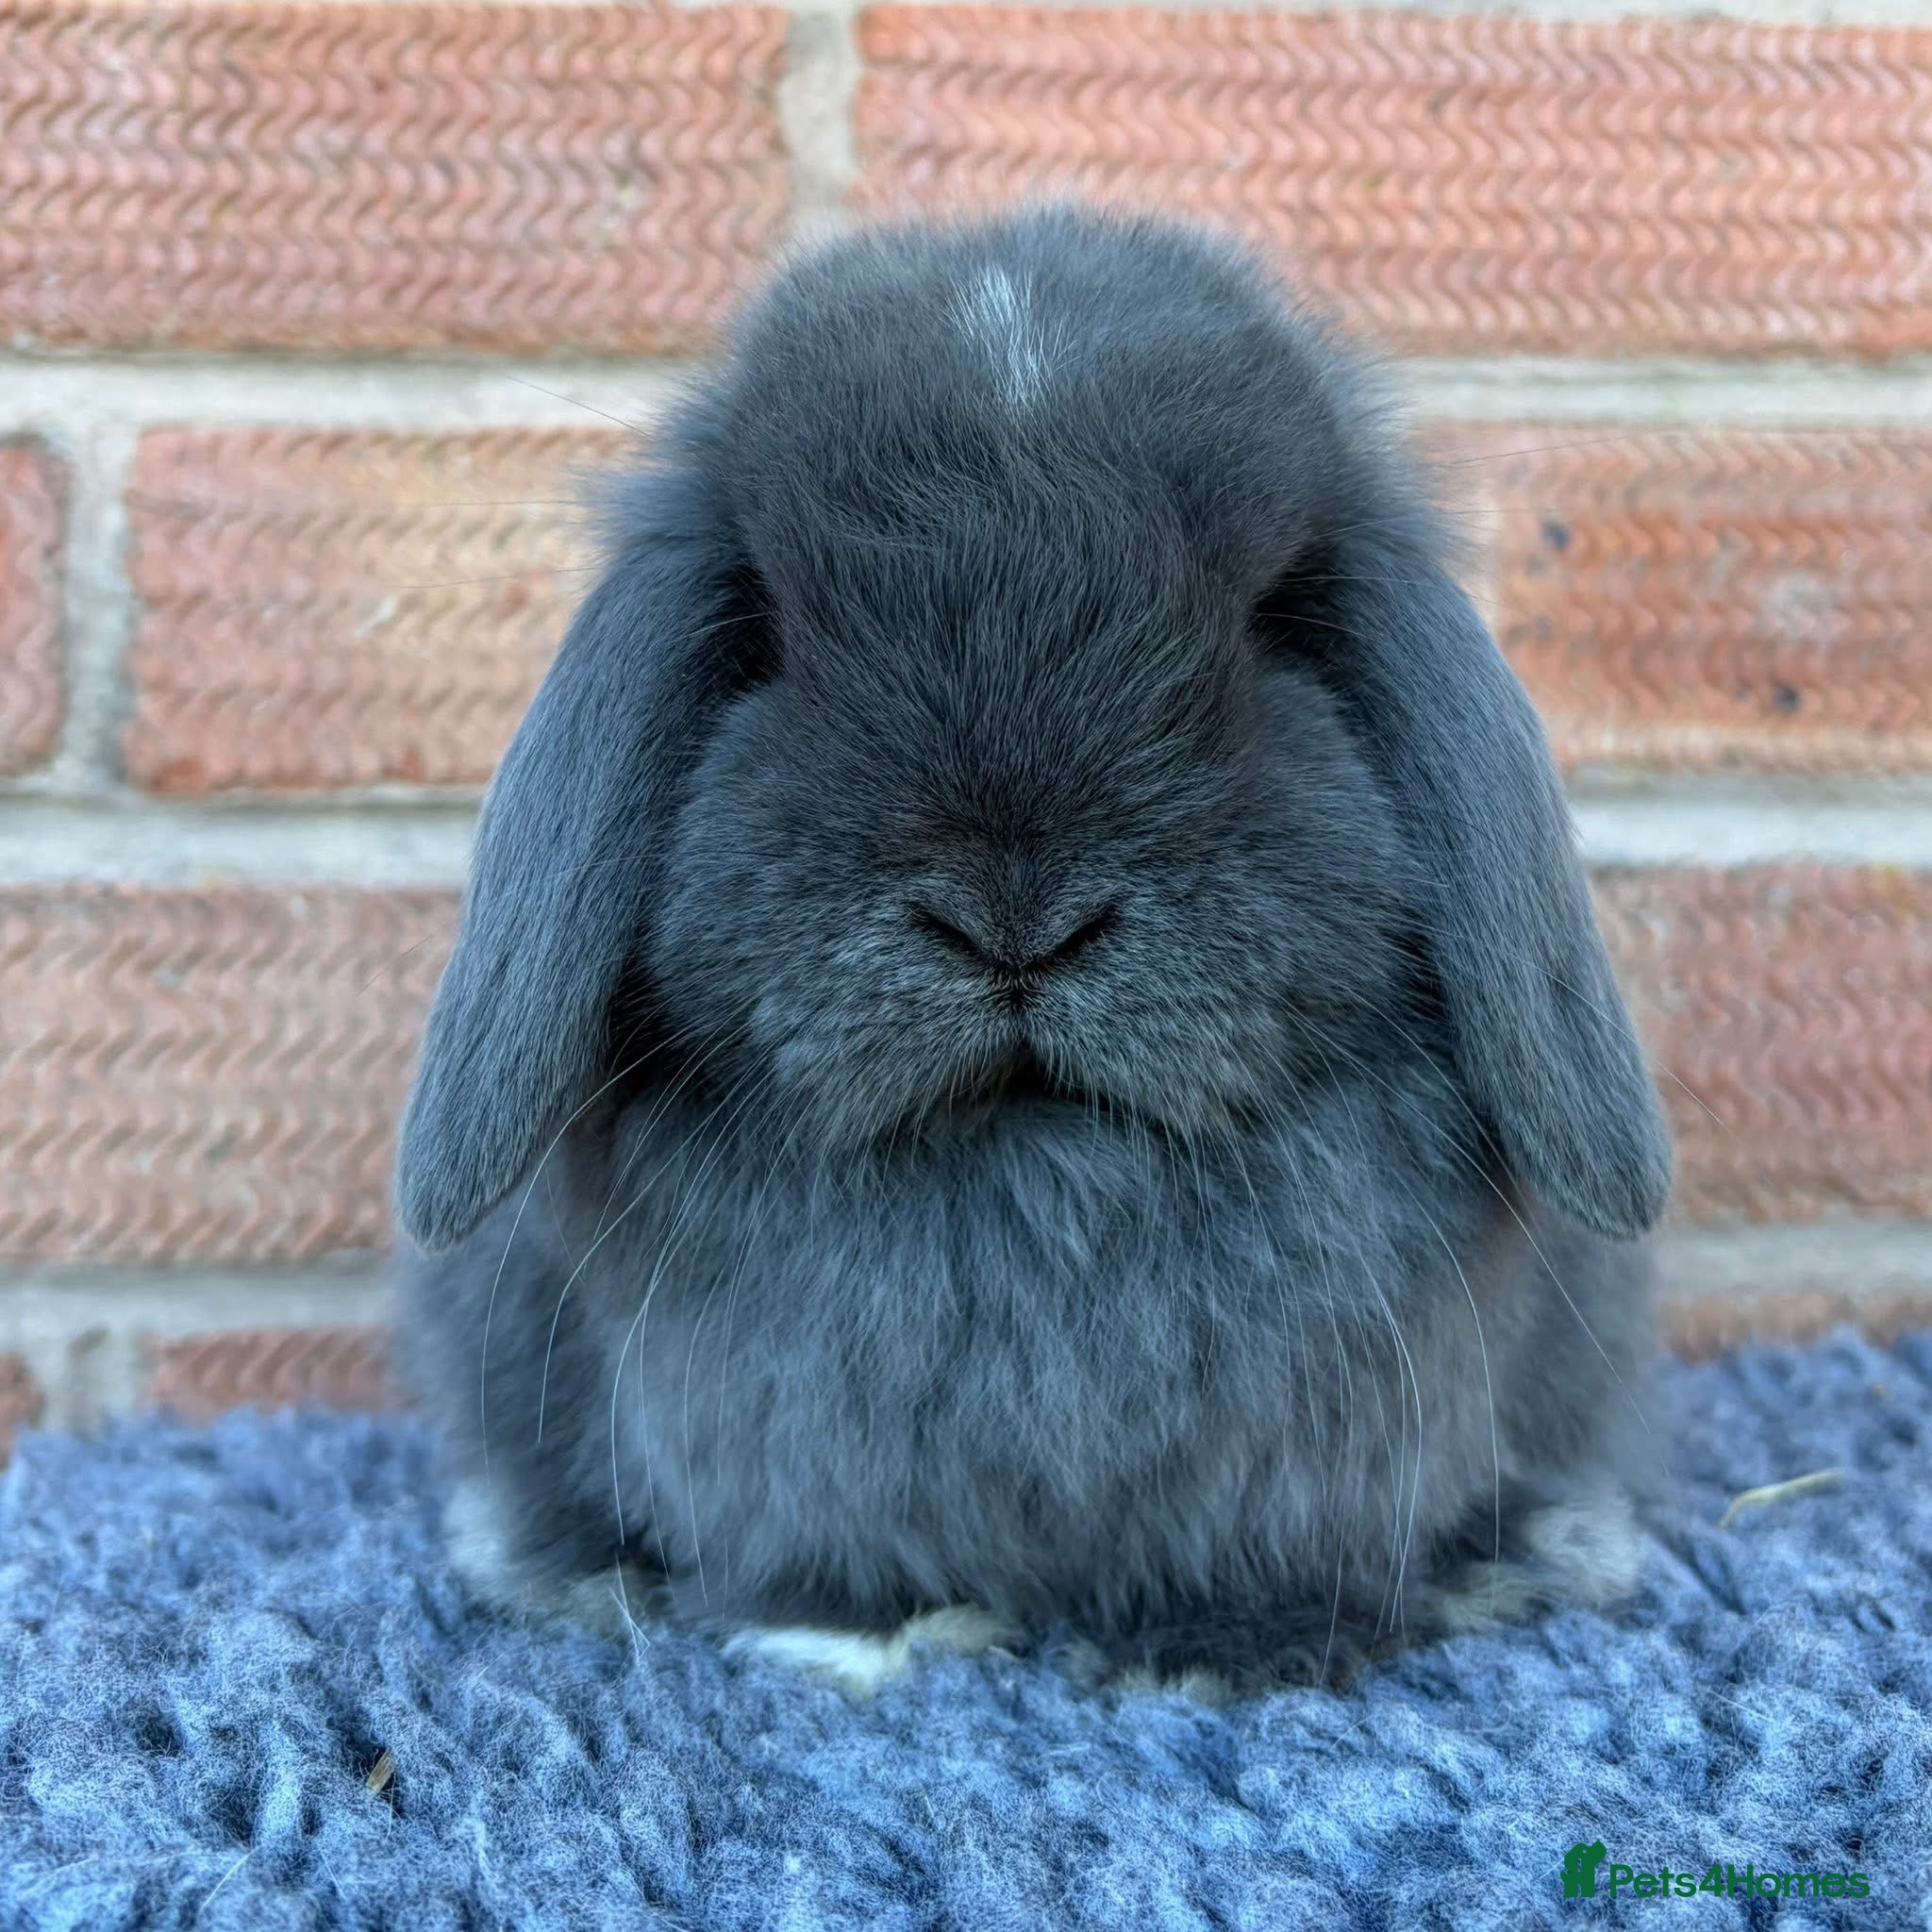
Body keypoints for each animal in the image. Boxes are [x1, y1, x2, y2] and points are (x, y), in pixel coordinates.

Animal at [393, 204, 1671, 1694]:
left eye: (1275, 617)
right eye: (762, 631)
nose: (1017, 920)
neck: (1032, 1162)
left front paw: (1219, 1652)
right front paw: (850, 1632)